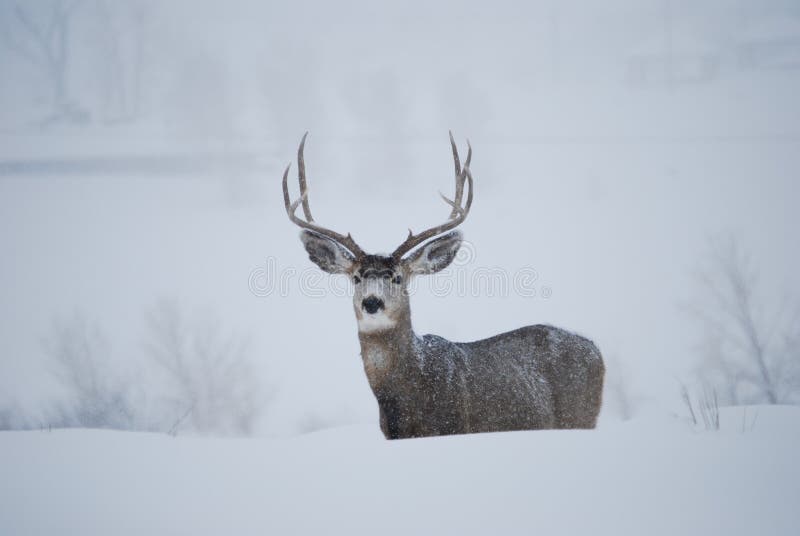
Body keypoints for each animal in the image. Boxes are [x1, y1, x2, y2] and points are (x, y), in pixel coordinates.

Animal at [281, 133, 604, 439]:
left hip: (580, 417)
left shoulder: (454, 425)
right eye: (356, 277)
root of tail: (596, 349)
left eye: (397, 277)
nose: (372, 302)